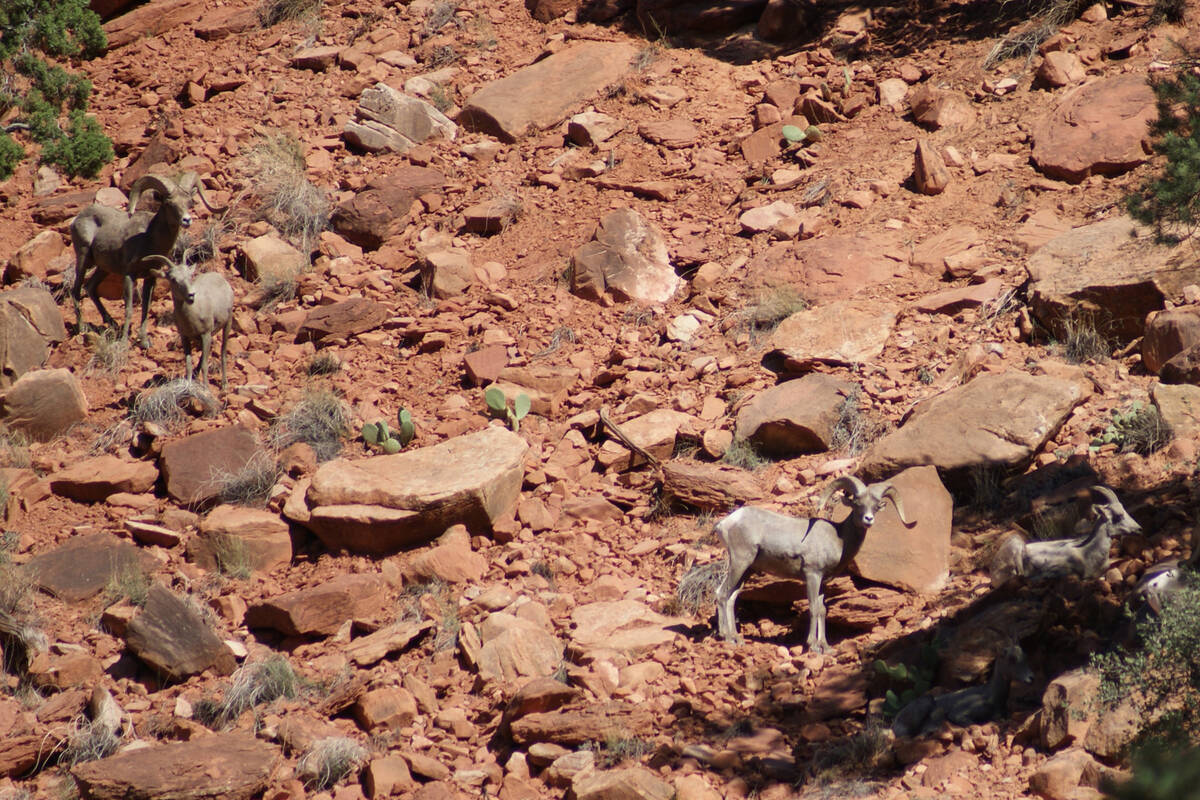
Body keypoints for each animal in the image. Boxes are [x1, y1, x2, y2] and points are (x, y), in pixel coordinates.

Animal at [69, 172, 225, 347]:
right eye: (169, 203)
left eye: (189, 202)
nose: (187, 220)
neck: (148, 239)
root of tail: (76, 220)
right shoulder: (129, 275)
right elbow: (129, 309)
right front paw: (124, 342)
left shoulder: (150, 277)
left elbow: (145, 307)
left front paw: (144, 341)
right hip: (83, 259)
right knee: (76, 291)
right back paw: (82, 328)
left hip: (103, 268)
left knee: (90, 287)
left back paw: (112, 323)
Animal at [144, 255, 232, 393]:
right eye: (173, 279)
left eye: (190, 276)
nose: (191, 295)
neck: (193, 314)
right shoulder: (185, 337)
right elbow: (188, 364)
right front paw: (189, 386)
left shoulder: (206, 334)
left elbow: (205, 364)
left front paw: (206, 389)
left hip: (227, 323)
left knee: (223, 351)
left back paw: (224, 385)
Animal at [710, 479, 907, 652]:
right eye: (857, 504)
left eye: (876, 506)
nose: (868, 519)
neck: (839, 538)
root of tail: (726, 523)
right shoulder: (812, 575)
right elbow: (812, 608)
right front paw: (812, 646)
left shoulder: (823, 582)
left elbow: (822, 610)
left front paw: (825, 647)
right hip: (740, 562)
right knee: (722, 594)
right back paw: (727, 637)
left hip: (747, 570)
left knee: (731, 597)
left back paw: (737, 639)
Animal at [892, 642, 1032, 743]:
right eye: (1011, 658)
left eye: (1025, 656)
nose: (1031, 677)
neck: (993, 696)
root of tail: (895, 723)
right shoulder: (959, 714)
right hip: (926, 702)